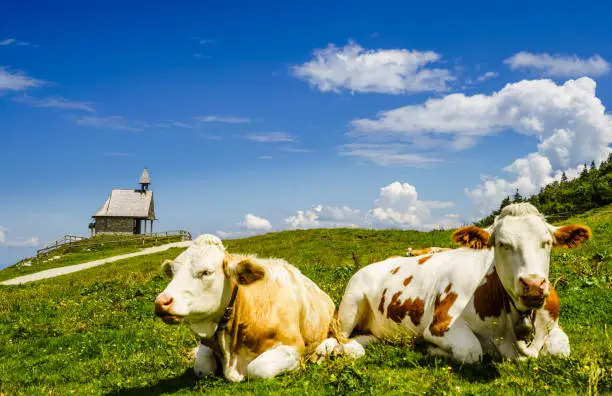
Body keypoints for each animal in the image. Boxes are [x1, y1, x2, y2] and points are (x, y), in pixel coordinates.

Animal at [153, 235, 334, 380]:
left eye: (206, 272)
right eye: (173, 273)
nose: (161, 302)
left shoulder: (294, 346)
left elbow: (257, 369)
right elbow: (201, 368)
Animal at [316, 204, 588, 362]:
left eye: (547, 242)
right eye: (502, 243)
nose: (533, 284)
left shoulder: (553, 326)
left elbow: (562, 349)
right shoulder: (440, 325)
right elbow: (472, 352)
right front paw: (431, 349)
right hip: (350, 303)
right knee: (336, 337)